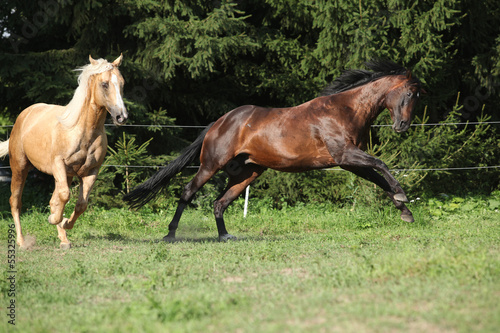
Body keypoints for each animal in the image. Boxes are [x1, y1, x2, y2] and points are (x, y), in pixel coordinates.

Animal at [0, 54, 128, 248]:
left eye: (122, 83)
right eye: (104, 84)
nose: (122, 116)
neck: (83, 130)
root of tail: (24, 115)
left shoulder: (91, 171)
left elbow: (80, 204)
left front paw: (65, 223)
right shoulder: (58, 164)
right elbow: (65, 195)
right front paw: (53, 219)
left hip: (64, 175)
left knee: (54, 200)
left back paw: (64, 239)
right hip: (20, 168)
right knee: (15, 202)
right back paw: (21, 241)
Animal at [125, 60, 422, 241]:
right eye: (409, 93)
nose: (402, 126)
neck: (345, 110)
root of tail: (218, 123)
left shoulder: (349, 162)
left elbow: (380, 179)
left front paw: (405, 210)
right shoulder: (346, 156)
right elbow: (382, 165)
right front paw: (403, 196)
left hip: (247, 173)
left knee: (220, 202)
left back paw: (225, 236)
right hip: (211, 165)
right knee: (188, 192)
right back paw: (170, 234)